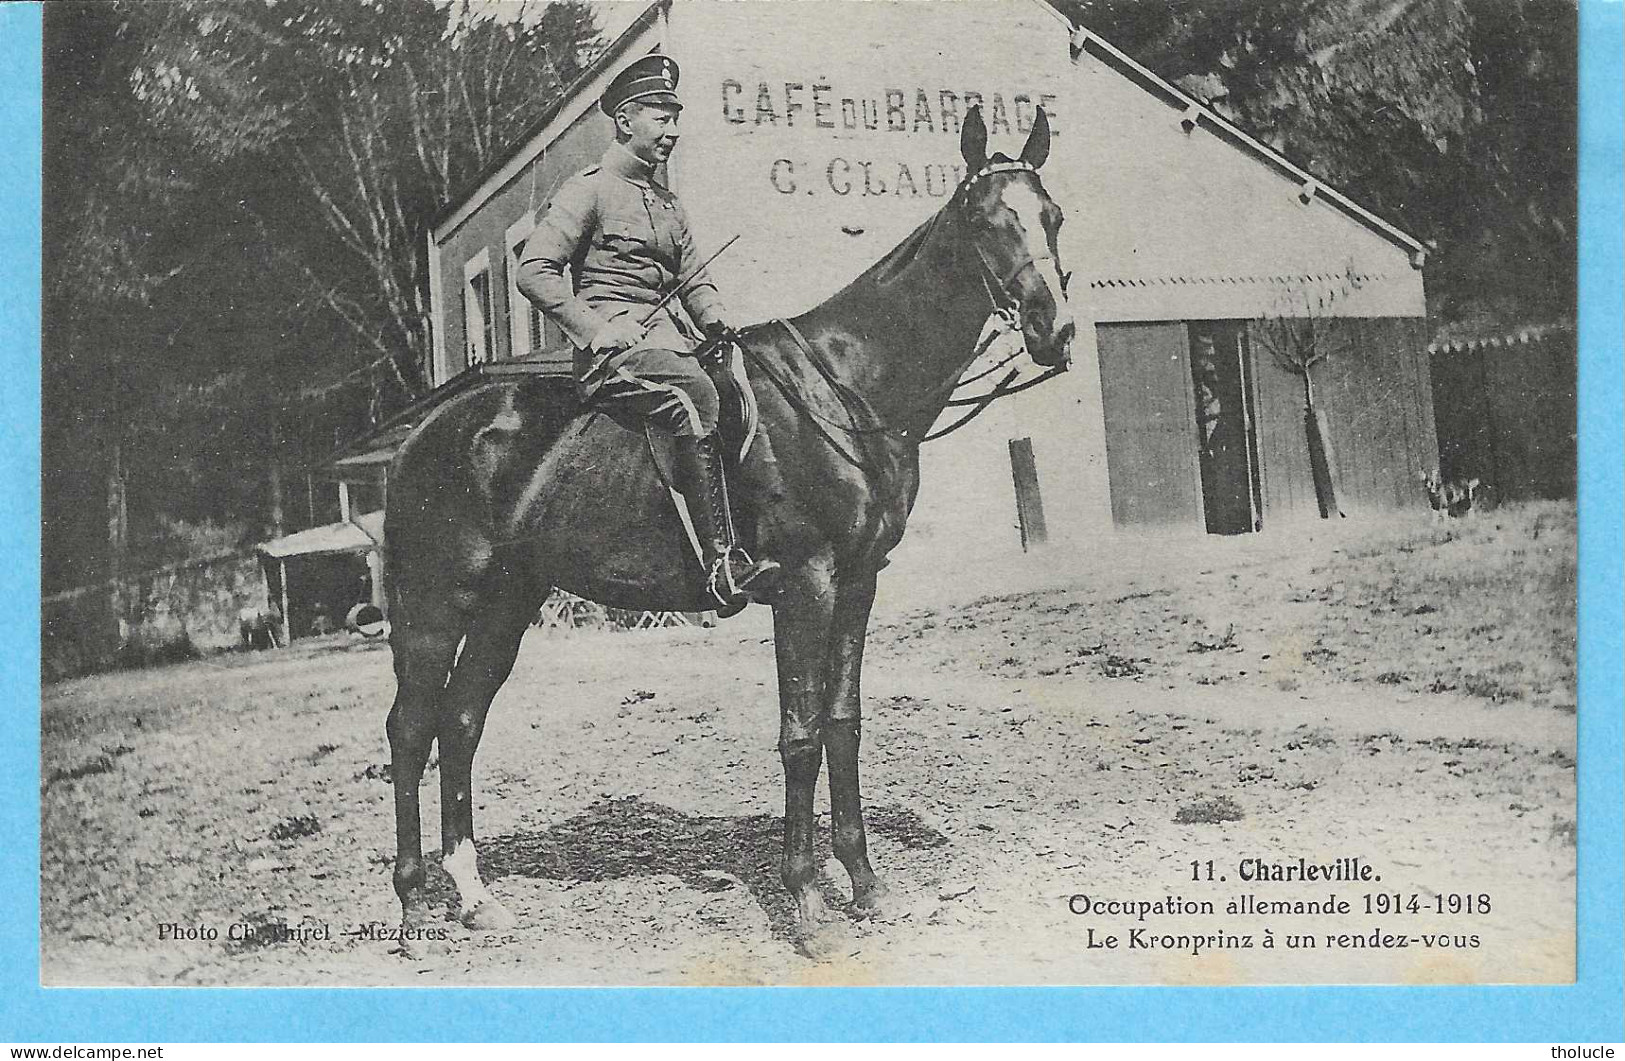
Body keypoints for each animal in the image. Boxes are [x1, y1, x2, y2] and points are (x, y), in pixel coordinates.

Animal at [383, 107, 1079, 948]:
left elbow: (842, 722)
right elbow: (800, 733)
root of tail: (422, 433)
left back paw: (475, 894)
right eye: (982, 221)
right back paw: (414, 903)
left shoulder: (858, 582)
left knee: (460, 719)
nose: (1055, 332)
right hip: (435, 602)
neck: (843, 385)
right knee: (410, 727)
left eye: (1052, 215)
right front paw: (807, 903)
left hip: (507, 601)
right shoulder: (806, 583)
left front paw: (867, 885)